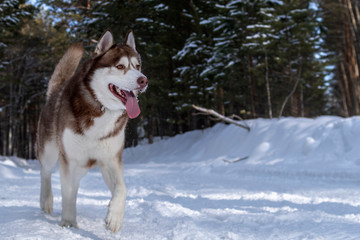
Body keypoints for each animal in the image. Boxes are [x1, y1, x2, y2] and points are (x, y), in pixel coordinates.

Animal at [35, 30, 148, 232]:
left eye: (137, 66)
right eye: (120, 66)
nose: (143, 80)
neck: (100, 108)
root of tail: (55, 91)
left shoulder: (110, 160)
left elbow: (122, 188)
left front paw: (114, 217)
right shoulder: (69, 159)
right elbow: (68, 193)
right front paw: (69, 221)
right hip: (49, 151)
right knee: (45, 172)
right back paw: (46, 200)